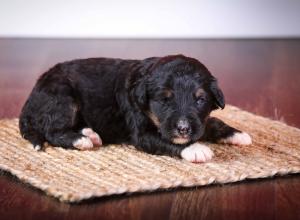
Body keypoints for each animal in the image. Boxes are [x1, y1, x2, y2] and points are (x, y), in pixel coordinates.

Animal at [19, 54, 252, 162]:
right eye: (165, 100)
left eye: (200, 100)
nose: (184, 129)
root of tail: (31, 95)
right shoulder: (141, 134)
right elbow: (165, 139)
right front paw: (196, 149)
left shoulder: (199, 121)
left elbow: (211, 122)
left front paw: (237, 134)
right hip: (63, 97)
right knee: (52, 130)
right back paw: (82, 140)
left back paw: (89, 133)